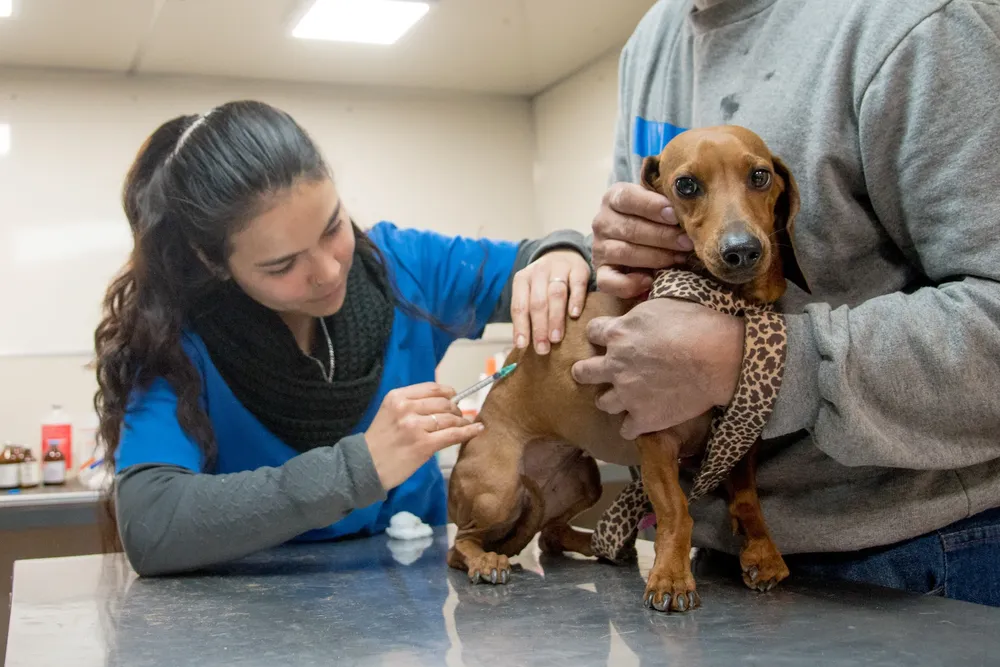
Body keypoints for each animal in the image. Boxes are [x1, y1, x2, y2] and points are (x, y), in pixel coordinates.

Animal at [450, 124, 808, 612]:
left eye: (760, 176)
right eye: (686, 185)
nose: (742, 251)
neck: (728, 303)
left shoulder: (739, 439)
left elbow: (748, 502)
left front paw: (763, 553)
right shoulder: (655, 443)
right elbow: (677, 510)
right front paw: (671, 578)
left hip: (585, 480)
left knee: (549, 535)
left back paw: (599, 546)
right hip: (498, 489)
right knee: (459, 545)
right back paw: (486, 561)